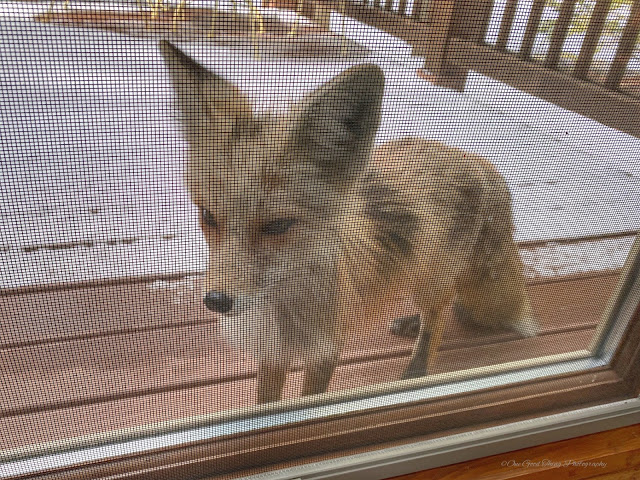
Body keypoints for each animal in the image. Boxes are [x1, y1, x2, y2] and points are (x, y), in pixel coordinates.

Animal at [159, 40, 539, 404]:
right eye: (208, 216)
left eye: (278, 225)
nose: (216, 301)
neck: (283, 303)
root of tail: (475, 158)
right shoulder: (274, 350)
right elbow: (266, 404)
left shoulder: (325, 349)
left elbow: (310, 400)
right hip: (419, 270)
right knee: (442, 302)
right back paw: (411, 322)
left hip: (432, 276)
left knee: (440, 312)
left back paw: (417, 367)